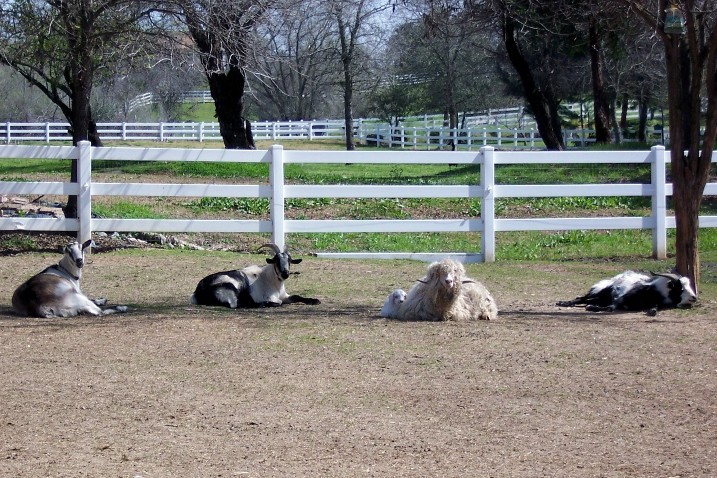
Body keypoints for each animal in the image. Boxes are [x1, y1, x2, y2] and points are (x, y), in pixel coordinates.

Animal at [193, 243, 322, 310]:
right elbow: (280, 301)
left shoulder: (285, 295)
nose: (285, 273)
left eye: (289, 260)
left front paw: (315, 301)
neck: (271, 280)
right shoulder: (272, 297)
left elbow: (297, 296)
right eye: (276, 260)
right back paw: (263, 304)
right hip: (228, 289)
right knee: (237, 305)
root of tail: (198, 291)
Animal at [556, 270, 696, 316]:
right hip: (599, 292)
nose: (694, 297)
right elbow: (611, 308)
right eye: (680, 288)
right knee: (582, 298)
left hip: (601, 297)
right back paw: (563, 303)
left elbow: (654, 308)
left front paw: (652, 311)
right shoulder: (619, 299)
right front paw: (592, 308)